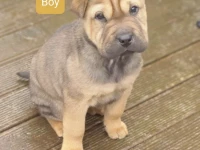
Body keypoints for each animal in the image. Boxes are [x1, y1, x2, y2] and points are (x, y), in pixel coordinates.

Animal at [18, 0, 148, 149]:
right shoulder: (76, 101)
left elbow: (115, 112)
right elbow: (75, 129)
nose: (125, 39)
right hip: (51, 103)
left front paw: (114, 127)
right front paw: (72, 146)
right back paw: (60, 126)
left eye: (134, 9)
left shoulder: (124, 90)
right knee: (48, 115)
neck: (114, 62)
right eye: (99, 16)